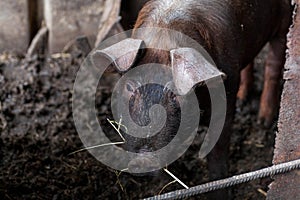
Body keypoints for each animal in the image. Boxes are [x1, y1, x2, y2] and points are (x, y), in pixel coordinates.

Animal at [93, 0, 290, 198]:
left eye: (175, 93)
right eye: (129, 87)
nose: (142, 161)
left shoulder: (226, 96)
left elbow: (217, 149)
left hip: (284, 23)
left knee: (273, 65)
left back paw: (263, 121)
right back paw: (243, 100)